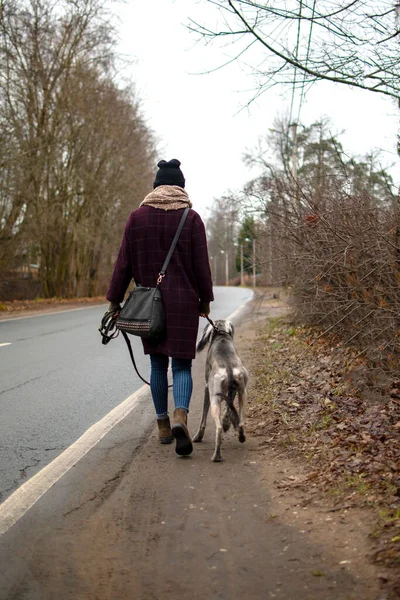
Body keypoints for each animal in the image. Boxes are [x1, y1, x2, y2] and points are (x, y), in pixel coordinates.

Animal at [192, 322, 248, 462]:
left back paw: (216, 455)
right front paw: (227, 422)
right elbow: (229, 407)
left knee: (218, 428)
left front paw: (198, 436)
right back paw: (241, 436)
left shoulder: (207, 389)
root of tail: (228, 366)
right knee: (241, 420)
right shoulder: (232, 391)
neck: (221, 335)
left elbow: (203, 419)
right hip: (243, 392)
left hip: (214, 400)